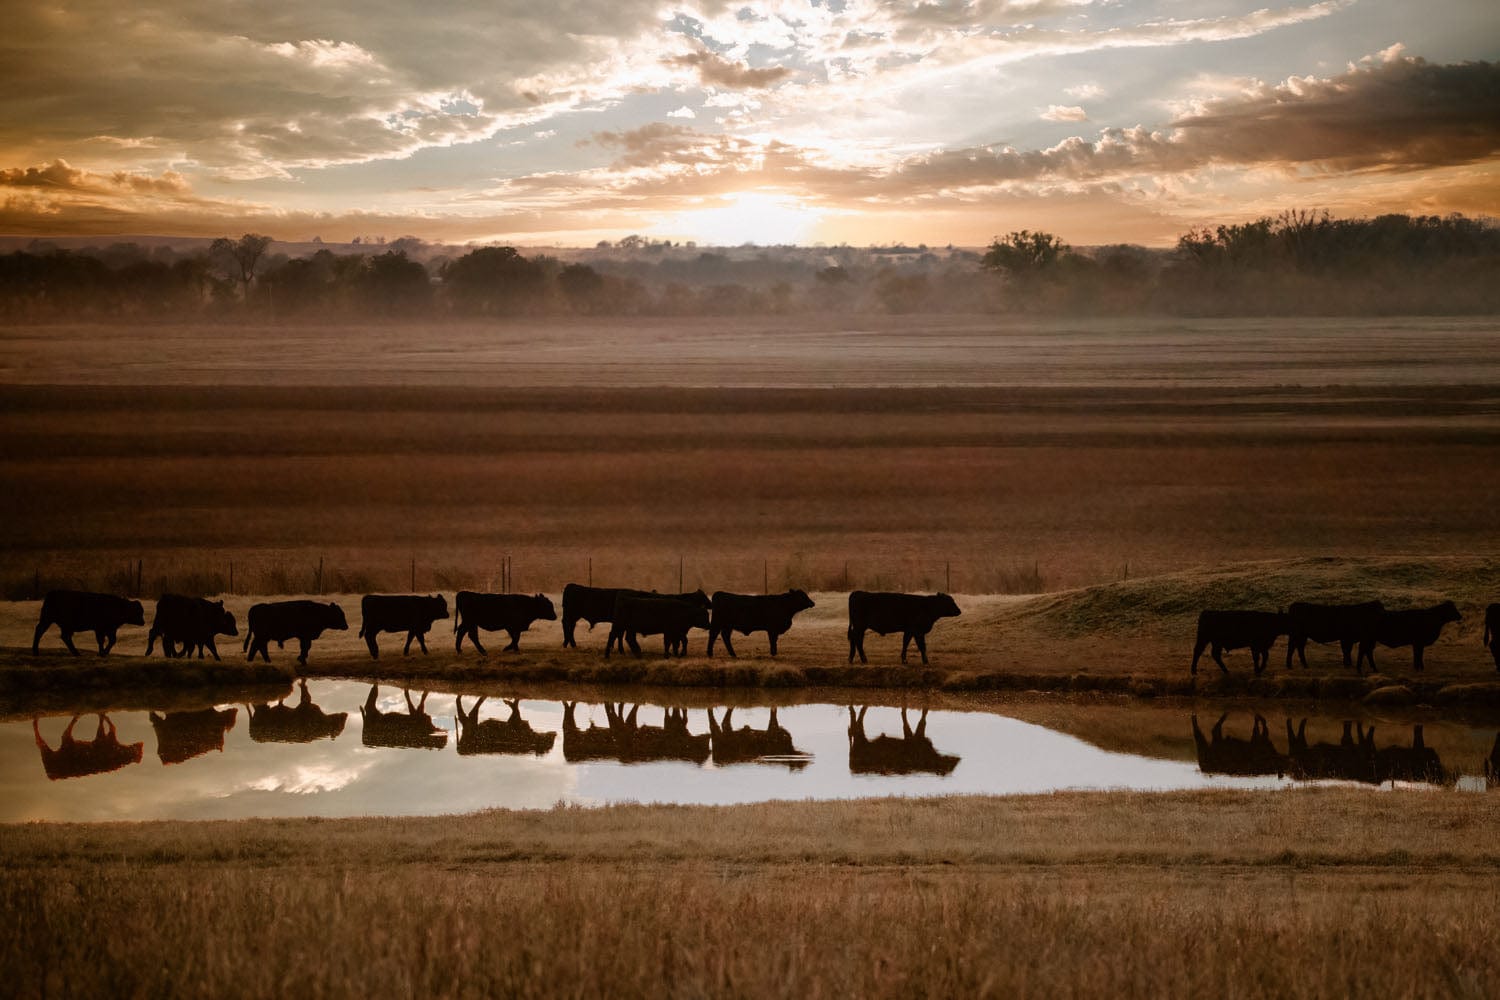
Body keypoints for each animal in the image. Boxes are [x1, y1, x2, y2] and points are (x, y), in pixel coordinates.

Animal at [560, 584, 709, 651]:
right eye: (704, 597)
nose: (711, 603)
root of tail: (571, 585)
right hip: (571, 614)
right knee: (567, 625)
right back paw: (568, 643)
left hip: (573, 615)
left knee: (570, 627)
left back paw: (571, 643)